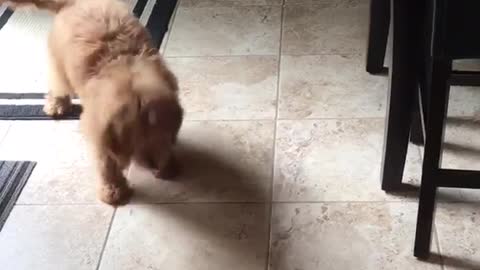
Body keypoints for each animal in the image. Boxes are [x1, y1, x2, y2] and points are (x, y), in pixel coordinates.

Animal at [2, 0, 183, 205]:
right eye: (136, 136)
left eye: (159, 132)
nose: (153, 164)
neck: (125, 65)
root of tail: (74, 2)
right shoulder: (99, 127)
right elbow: (106, 160)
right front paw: (113, 189)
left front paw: (169, 163)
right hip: (60, 61)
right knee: (59, 83)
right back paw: (57, 104)